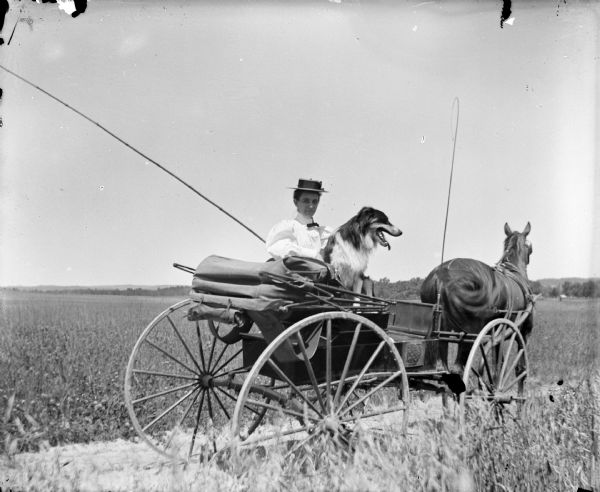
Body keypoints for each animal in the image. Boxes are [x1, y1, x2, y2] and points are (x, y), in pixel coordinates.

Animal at [420, 223, 532, 372]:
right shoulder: (523, 333)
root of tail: (440, 278)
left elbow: (499, 362)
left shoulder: (497, 334)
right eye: (529, 247)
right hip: (470, 330)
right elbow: (519, 367)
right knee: (458, 366)